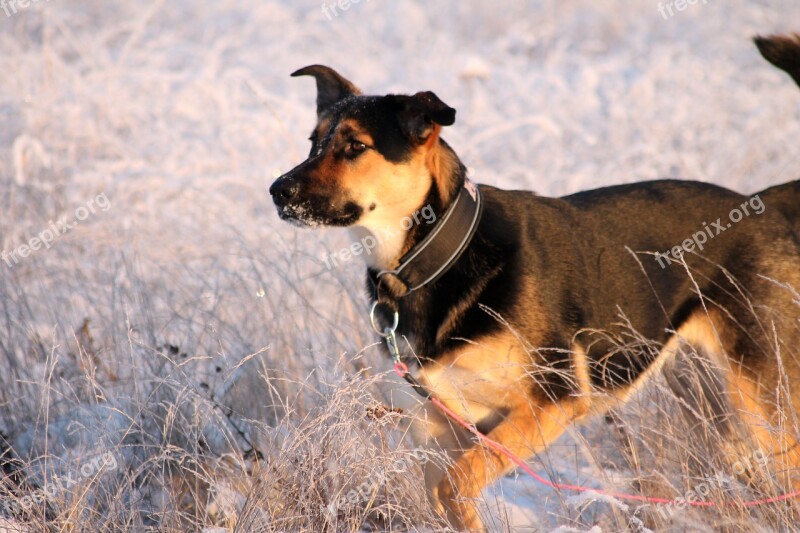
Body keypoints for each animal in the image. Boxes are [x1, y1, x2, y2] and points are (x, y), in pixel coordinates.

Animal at [268, 35, 800, 528]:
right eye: (313, 143)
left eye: (355, 146)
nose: (277, 190)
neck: (436, 256)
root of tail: (766, 205)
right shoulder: (437, 430)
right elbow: (447, 493)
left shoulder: (550, 402)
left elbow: (457, 484)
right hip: (713, 402)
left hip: (764, 399)